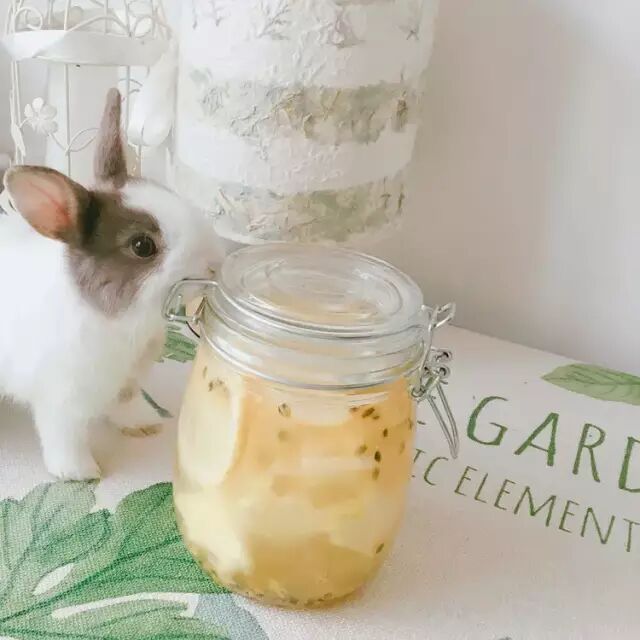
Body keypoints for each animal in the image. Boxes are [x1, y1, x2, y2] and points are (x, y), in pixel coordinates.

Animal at [0, 88, 223, 480]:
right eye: (142, 246)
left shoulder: (127, 383)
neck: (123, 323)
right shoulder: (61, 401)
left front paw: (144, 425)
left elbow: (127, 404)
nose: (214, 263)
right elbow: (65, 437)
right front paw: (81, 473)